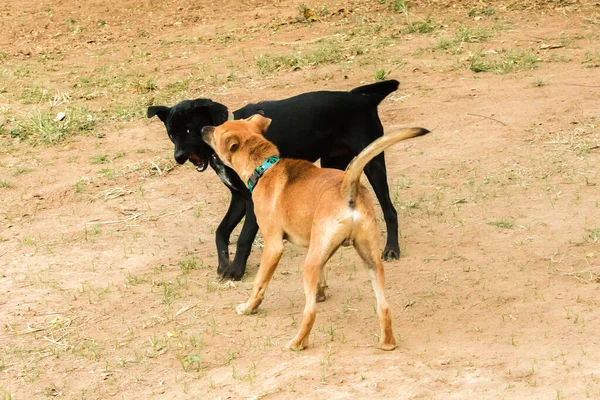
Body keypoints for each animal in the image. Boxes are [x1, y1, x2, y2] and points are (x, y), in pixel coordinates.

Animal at [148, 79, 404, 280]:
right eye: (171, 134)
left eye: (189, 130)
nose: (179, 157)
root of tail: (361, 100)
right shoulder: (239, 198)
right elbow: (220, 231)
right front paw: (223, 264)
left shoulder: (252, 200)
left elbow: (244, 237)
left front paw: (236, 271)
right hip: (333, 166)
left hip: (373, 163)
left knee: (390, 210)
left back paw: (391, 248)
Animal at [203, 115, 432, 350]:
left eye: (217, 131)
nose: (204, 128)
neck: (265, 169)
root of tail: (347, 187)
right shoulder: (316, 246)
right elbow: (322, 273)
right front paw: (321, 291)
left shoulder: (273, 246)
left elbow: (259, 283)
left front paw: (249, 307)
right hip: (370, 259)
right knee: (383, 306)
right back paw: (387, 343)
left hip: (310, 265)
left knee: (310, 312)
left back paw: (297, 343)